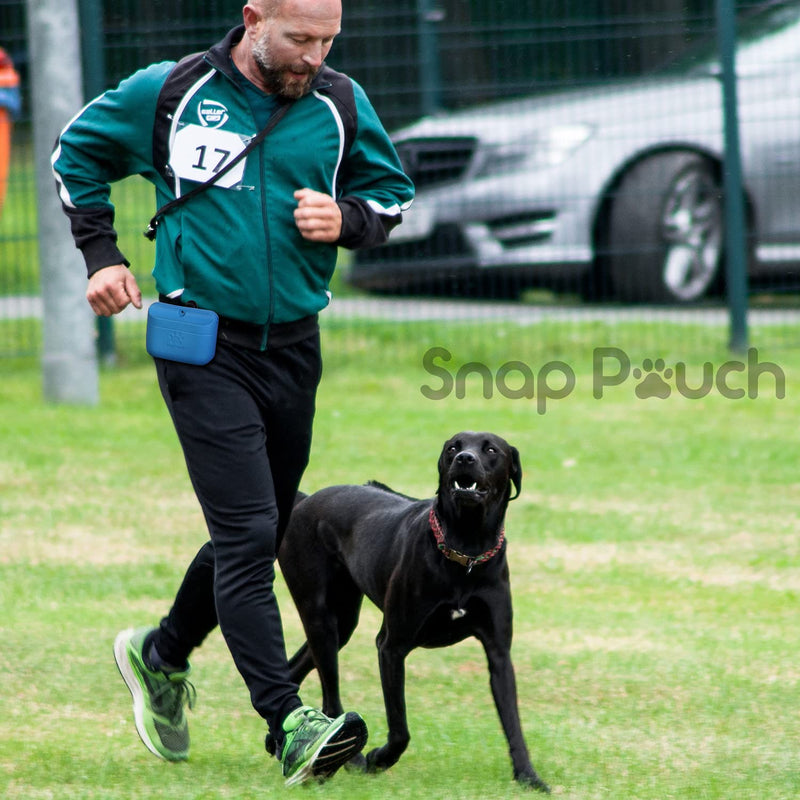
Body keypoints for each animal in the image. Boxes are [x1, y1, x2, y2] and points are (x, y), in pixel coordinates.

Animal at [276, 434, 552, 792]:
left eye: (491, 449)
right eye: (453, 447)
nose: (464, 459)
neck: (466, 549)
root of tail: (305, 501)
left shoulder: (499, 653)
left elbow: (513, 723)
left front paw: (528, 776)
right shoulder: (391, 646)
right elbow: (400, 727)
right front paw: (379, 758)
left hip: (342, 622)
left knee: (295, 669)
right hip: (319, 616)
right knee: (331, 697)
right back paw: (350, 756)